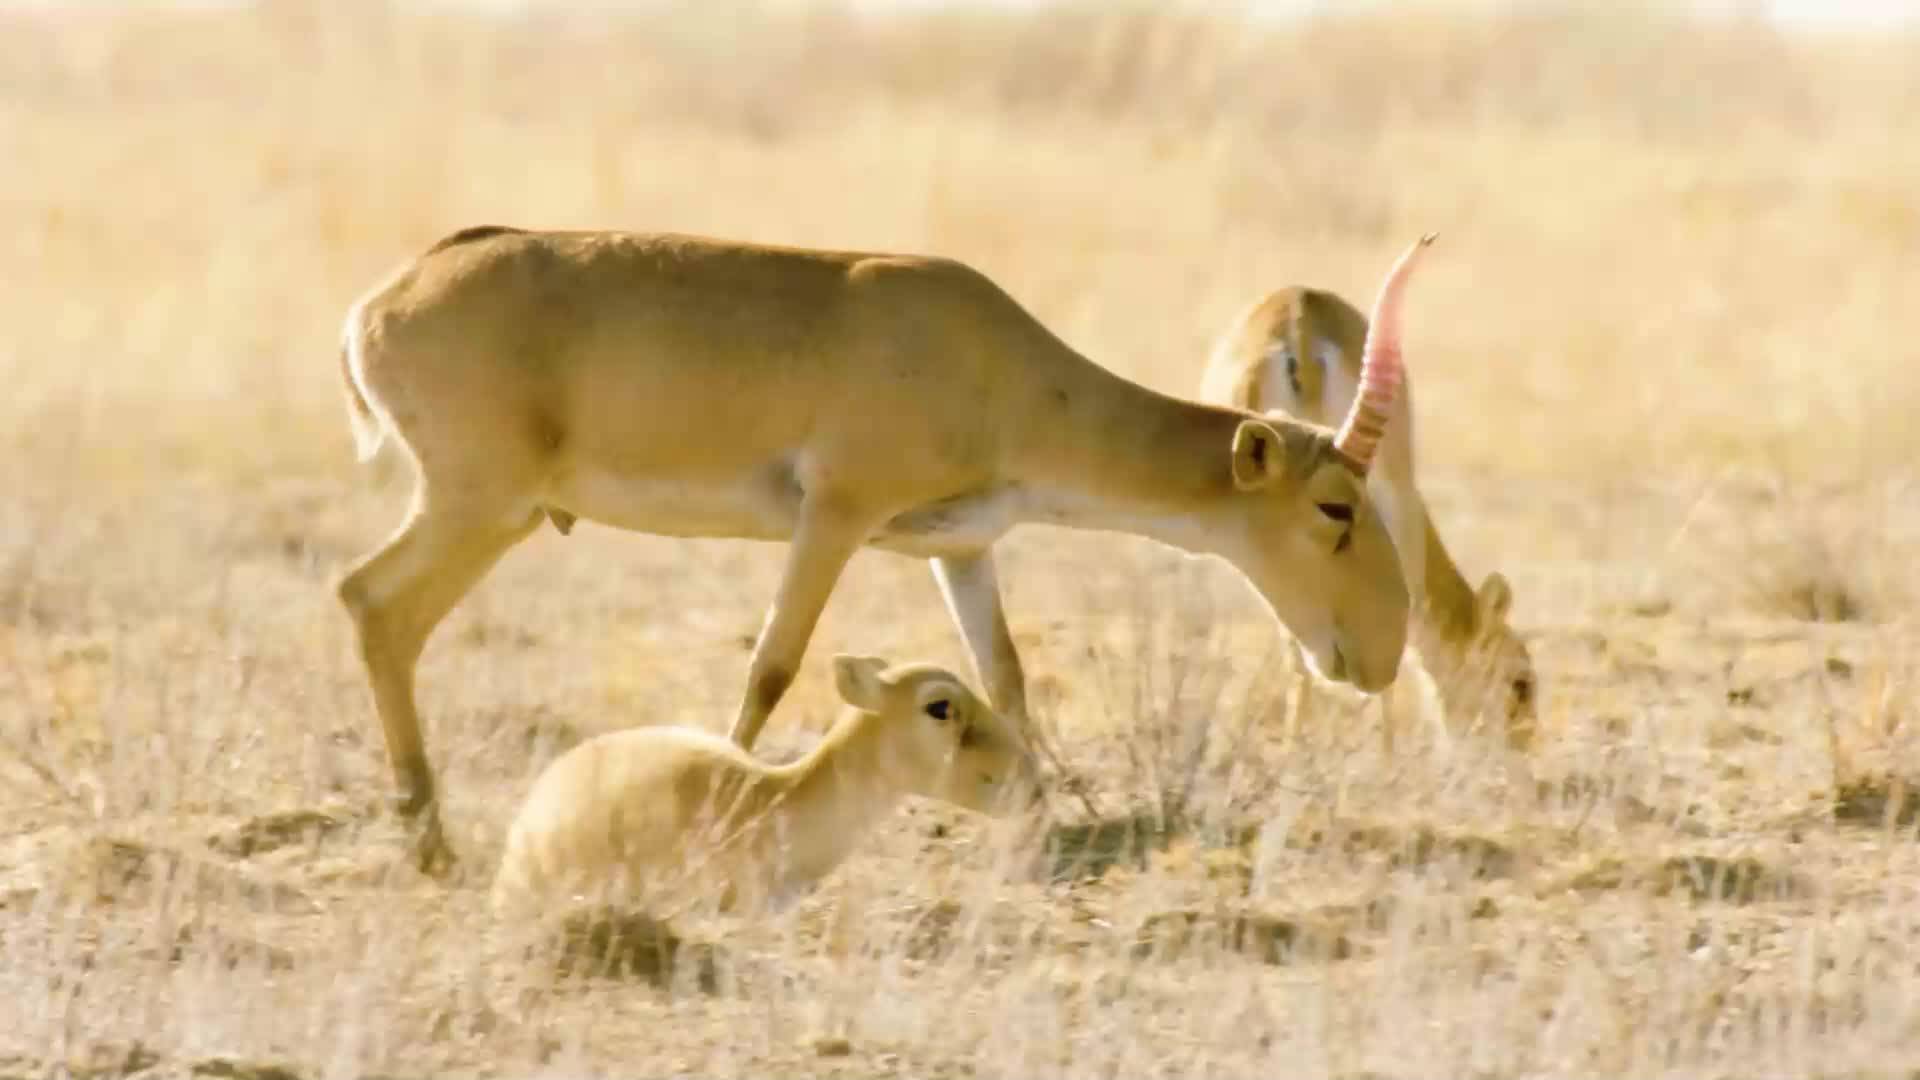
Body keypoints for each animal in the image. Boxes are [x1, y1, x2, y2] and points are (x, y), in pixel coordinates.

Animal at [334, 224, 1428, 864]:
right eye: (1335, 505)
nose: (1374, 659)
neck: (1001, 364)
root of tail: (384, 299)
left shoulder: (962, 548)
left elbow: (1006, 671)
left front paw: (1042, 818)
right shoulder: (835, 516)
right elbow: (773, 665)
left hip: (490, 510)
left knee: (369, 603)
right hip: (484, 506)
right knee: (373, 601)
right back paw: (430, 839)